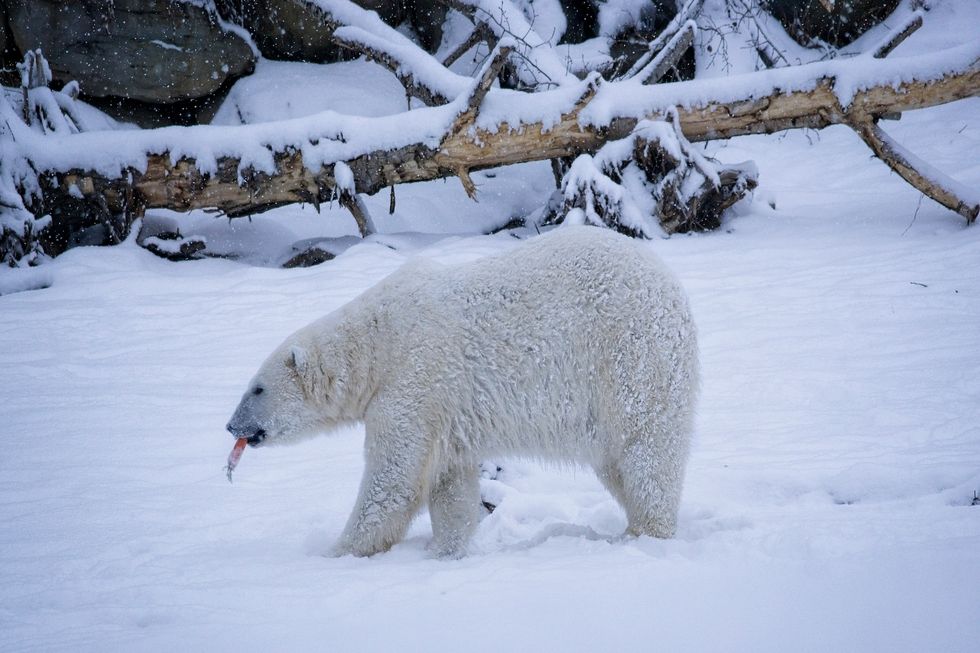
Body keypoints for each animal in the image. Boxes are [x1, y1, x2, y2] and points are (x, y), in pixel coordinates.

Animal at [226, 226, 699, 558]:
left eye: (257, 388)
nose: (232, 425)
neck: (378, 342)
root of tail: (674, 289)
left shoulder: (414, 378)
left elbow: (393, 481)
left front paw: (337, 551)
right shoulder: (445, 410)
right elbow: (450, 484)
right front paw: (444, 550)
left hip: (630, 360)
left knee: (646, 452)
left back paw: (645, 532)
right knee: (616, 463)